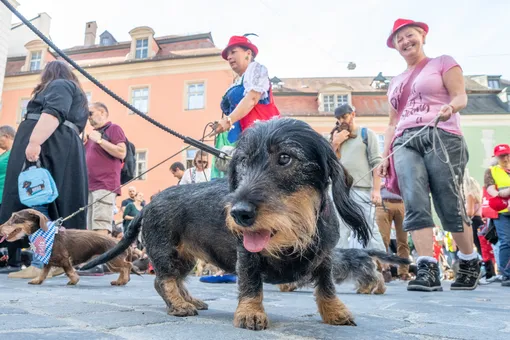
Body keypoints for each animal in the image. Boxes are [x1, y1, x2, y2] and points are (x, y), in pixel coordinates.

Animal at [82, 118, 370, 330]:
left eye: (285, 158)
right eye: (242, 161)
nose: (239, 214)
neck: (292, 236)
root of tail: (150, 203)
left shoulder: (325, 256)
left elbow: (326, 285)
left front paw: (335, 311)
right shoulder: (247, 254)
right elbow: (250, 283)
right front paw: (251, 313)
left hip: (184, 258)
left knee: (178, 280)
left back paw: (191, 299)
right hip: (165, 251)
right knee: (163, 281)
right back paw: (179, 305)